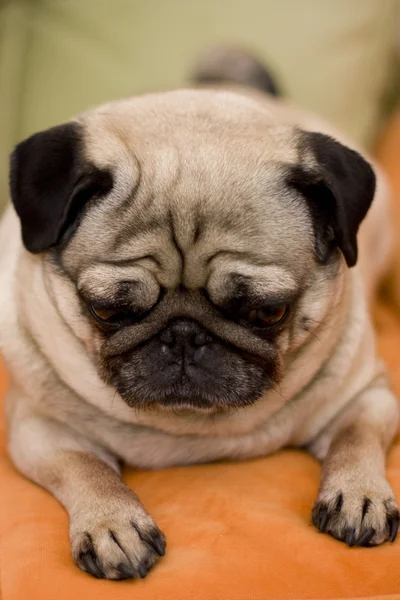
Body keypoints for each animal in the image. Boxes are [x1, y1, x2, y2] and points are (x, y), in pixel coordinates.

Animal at [0, 47, 398, 580]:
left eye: (268, 311)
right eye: (106, 310)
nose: (185, 336)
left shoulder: (366, 395)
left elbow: (357, 438)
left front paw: (358, 493)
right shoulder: (39, 427)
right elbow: (86, 468)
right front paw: (113, 524)